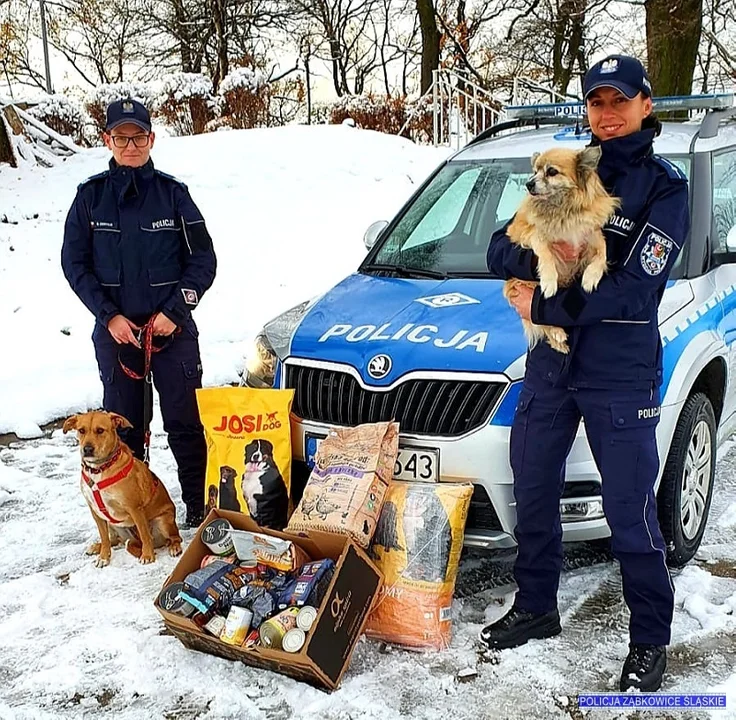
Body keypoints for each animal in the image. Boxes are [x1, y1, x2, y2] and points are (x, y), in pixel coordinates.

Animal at [64, 410, 183, 568]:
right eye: (81, 430)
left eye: (100, 430)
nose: (87, 449)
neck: (100, 468)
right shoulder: (95, 512)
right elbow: (104, 537)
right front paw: (104, 556)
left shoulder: (135, 509)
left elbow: (145, 535)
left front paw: (147, 555)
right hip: (112, 524)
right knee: (114, 540)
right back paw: (97, 546)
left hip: (163, 521)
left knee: (174, 537)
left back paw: (174, 547)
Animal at [504, 145, 620, 352]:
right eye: (535, 171)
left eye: (551, 172)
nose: (528, 184)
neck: (562, 208)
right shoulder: (530, 232)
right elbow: (546, 252)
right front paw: (549, 281)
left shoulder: (593, 235)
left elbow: (603, 254)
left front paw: (590, 277)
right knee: (537, 316)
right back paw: (557, 334)